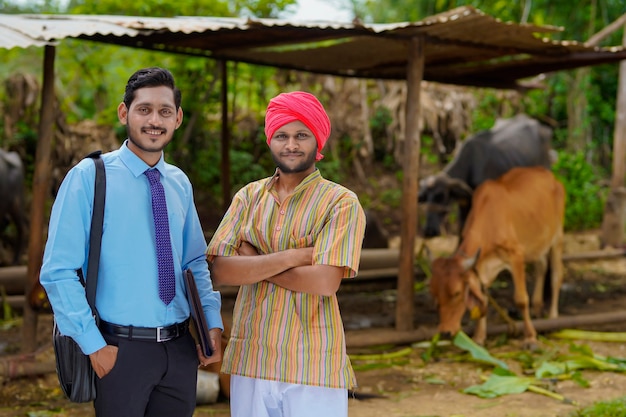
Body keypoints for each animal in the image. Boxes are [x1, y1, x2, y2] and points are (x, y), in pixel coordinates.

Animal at [426, 166, 564, 348]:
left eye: (456, 293)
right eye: (434, 292)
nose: (445, 332)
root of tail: (550, 175)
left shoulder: (516, 255)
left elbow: (521, 299)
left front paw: (530, 338)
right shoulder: (481, 267)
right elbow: (483, 300)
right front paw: (479, 337)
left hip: (557, 237)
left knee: (556, 275)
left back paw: (553, 316)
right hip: (538, 243)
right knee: (541, 266)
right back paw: (537, 307)